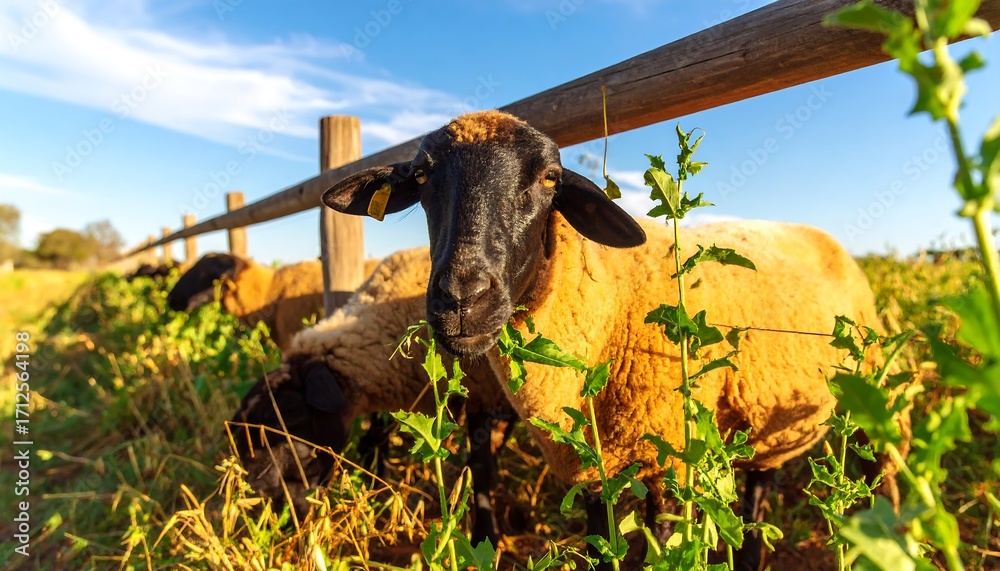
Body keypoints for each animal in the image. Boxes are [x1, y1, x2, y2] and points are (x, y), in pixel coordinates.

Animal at [230, 247, 517, 542]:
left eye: (293, 418)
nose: (261, 496)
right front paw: (375, 490)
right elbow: (373, 441)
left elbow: (480, 468)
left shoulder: (484, 394)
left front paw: (485, 535)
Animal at [318, 110, 886, 568]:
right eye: (420, 176)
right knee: (760, 484)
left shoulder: (668, 460)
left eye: (550, 178)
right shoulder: (591, 470)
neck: (605, 307)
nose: (461, 299)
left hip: (867, 391)